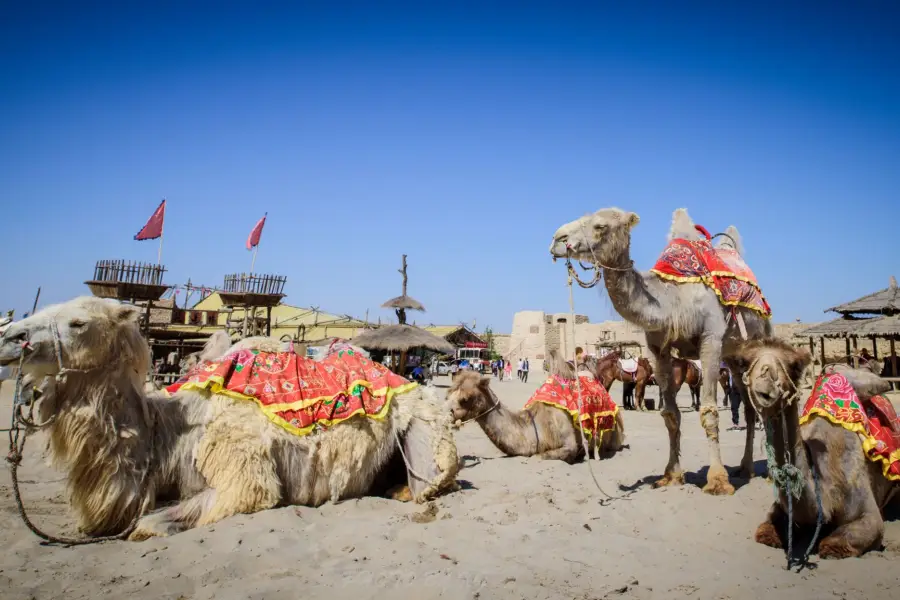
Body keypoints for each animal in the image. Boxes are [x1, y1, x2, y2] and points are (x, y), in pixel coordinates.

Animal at [446, 352, 624, 464]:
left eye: (465, 399)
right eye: (447, 394)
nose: (447, 414)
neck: (536, 426)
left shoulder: (568, 442)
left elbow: (538, 456)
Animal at [548, 209, 772, 494]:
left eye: (600, 226)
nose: (558, 238)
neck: (672, 301)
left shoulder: (711, 339)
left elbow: (709, 411)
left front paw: (718, 481)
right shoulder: (659, 348)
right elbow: (671, 414)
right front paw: (671, 475)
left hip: (756, 339)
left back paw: (769, 473)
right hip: (733, 357)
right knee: (749, 408)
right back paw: (746, 468)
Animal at [736, 340, 896, 560]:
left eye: (794, 366)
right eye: (744, 362)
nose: (765, 385)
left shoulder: (866, 509)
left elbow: (834, 543)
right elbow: (765, 531)